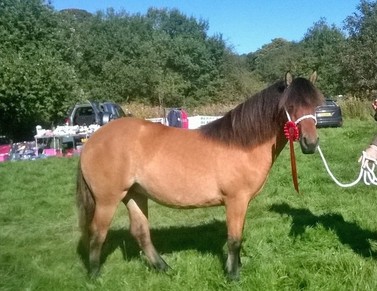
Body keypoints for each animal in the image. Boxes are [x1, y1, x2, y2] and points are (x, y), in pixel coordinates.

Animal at [75, 70, 324, 280]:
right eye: (290, 105)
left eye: (316, 105)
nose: (310, 143)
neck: (241, 144)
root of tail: (91, 141)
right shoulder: (236, 200)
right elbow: (234, 239)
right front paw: (233, 276)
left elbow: (237, 236)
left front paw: (236, 268)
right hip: (107, 200)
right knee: (97, 233)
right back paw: (95, 276)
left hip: (134, 194)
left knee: (140, 232)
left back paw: (164, 268)